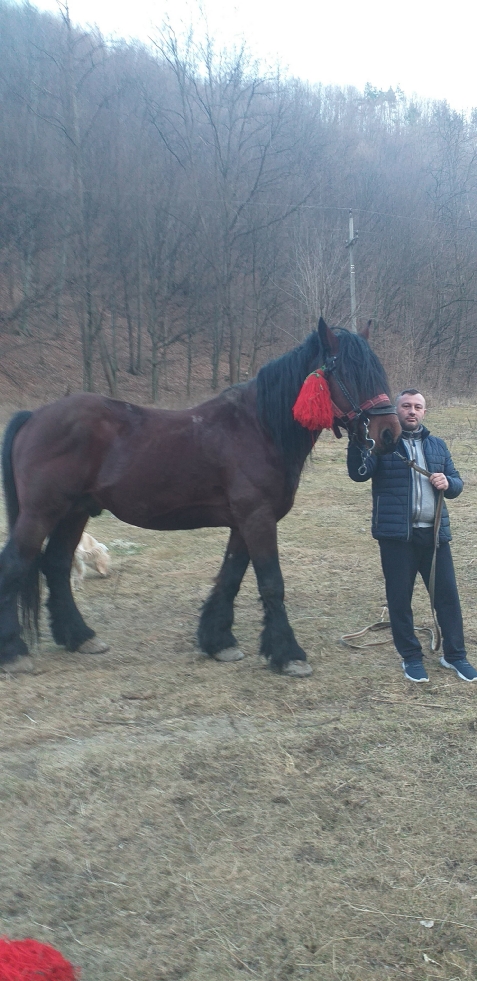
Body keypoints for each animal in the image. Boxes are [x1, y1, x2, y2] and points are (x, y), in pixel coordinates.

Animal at [0, 320, 402, 672]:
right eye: (349, 372)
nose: (390, 433)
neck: (258, 427)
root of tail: (34, 416)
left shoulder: (244, 522)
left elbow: (231, 577)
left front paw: (218, 641)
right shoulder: (257, 517)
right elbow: (271, 582)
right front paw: (288, 654)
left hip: (75, 512)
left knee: (55, 564)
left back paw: (79, 637)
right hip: (41, 513)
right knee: (17, 565)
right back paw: (14, 652)